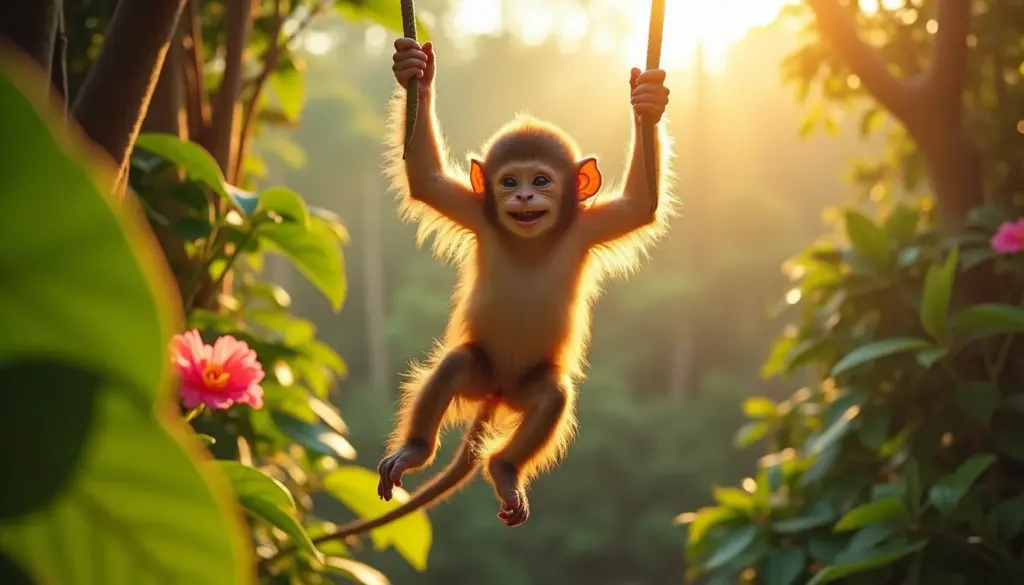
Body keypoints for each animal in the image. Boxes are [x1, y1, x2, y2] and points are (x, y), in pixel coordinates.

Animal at [318, 37, 675, 541]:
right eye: (508, 181)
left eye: (541, 180)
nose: (523, 197)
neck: (530, 239)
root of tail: (499, 394)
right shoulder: (478, 212)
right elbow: (426, 179)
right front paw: (414, 70)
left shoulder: (586, 226)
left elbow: (641, 205)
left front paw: (649, 100)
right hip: (479, 376)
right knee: (456, 364)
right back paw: (415, 451)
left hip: (523, 386)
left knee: (551, 395)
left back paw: (505, 470)